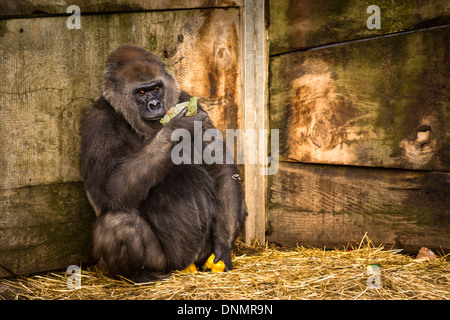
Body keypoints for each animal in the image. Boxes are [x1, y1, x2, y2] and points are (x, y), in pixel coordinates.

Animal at [82, 45, 248, 282]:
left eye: (157, 88)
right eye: (141, 93)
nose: (155, 104)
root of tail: (184, 266)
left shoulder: (187, 97)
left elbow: (221, 170)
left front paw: (223, 247)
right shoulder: (96, 121)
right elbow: (109, 188)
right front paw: (175, 129)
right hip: (166, 264)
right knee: (120, 224)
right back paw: (141, 274)